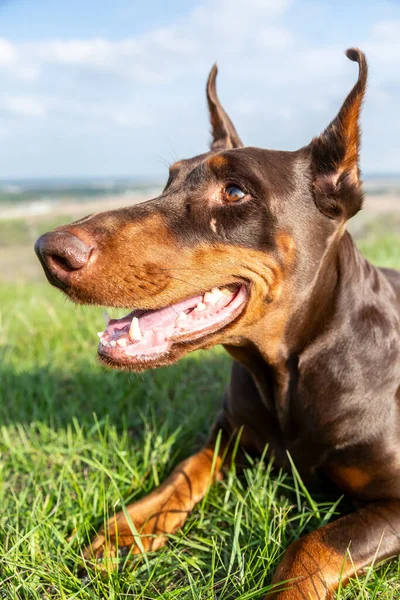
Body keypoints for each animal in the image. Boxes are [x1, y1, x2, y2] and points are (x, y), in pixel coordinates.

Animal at [34, 49, 400, 596]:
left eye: (234, 191)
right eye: (168, 181)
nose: (49, 250)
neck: (289, 371)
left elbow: (312, 545)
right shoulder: (228, 432)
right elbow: (186, 468)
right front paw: (129, 528)